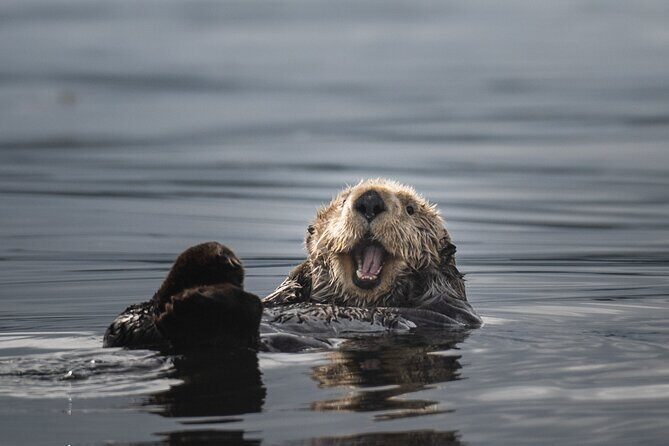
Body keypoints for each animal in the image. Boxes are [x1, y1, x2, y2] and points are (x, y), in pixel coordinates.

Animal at [104, 179, 481, 350]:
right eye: (343, 202)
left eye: (411, 209)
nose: (370, 199)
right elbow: (287, 290)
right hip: (135, 322)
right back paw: (210, 262)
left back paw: (208, 290)